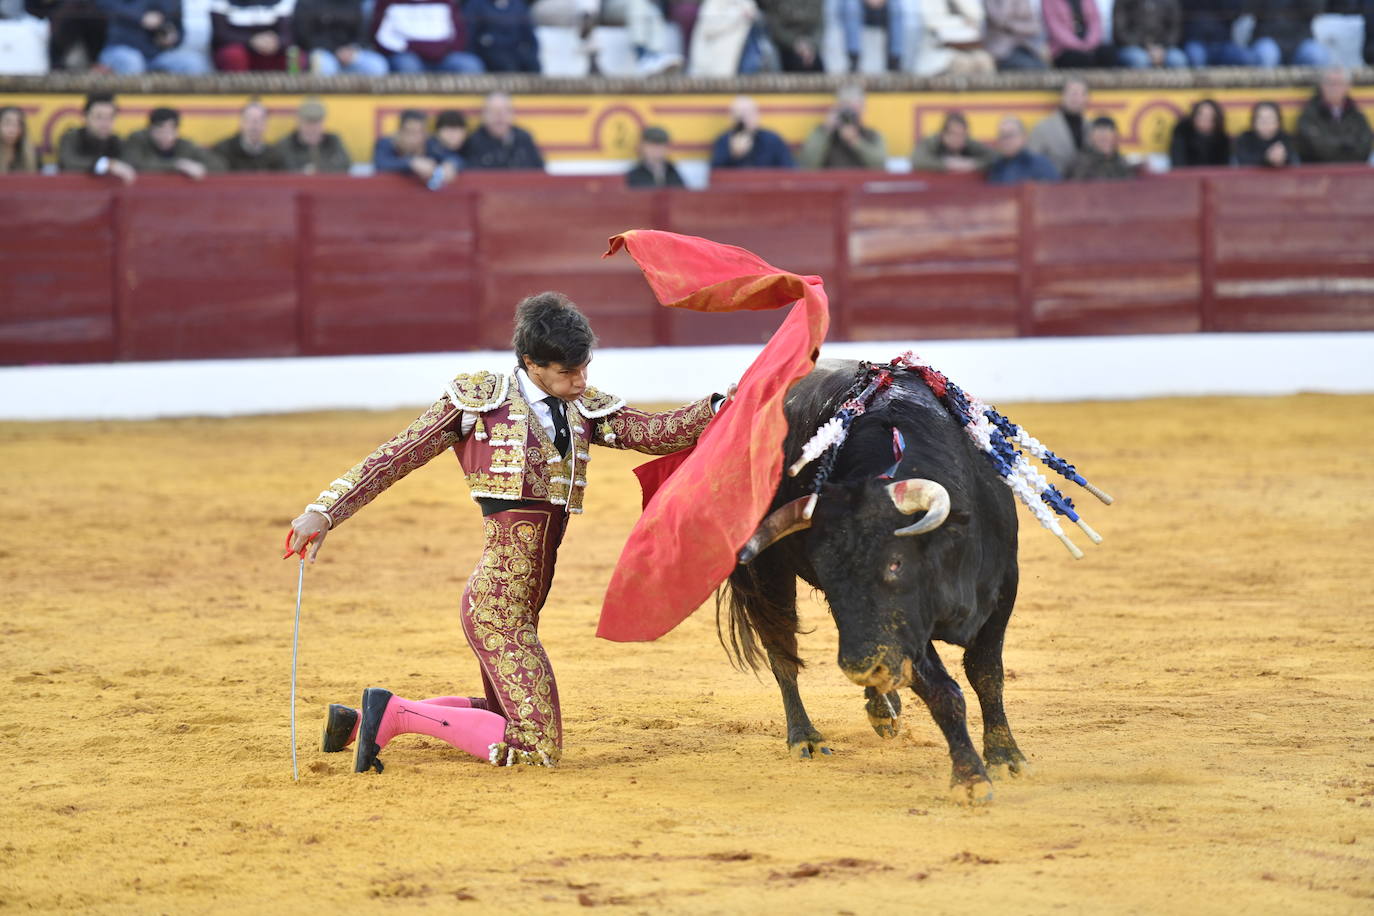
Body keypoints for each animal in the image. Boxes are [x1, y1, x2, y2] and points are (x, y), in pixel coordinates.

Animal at [725, 357, 1027, 802]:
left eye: (895, 564)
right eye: (826, 572)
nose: (858, 668)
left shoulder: (1004, 587)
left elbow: (986, 674)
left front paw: (1006, 757)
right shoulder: (907, 630)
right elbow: (943, 691)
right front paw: (970, 778)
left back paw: (881, 706)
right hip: (770, 576)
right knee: (783, 653)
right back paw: (807, 737)